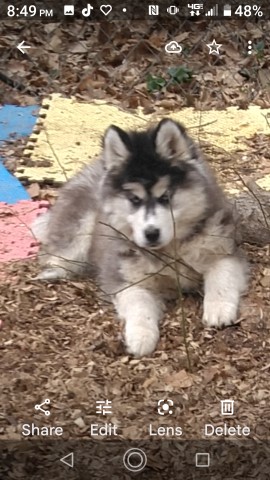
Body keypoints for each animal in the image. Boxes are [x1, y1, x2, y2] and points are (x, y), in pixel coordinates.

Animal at [32, 119, 248, 356]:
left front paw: (219, 309)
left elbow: (221, 278)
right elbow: (139, 306)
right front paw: (141, 337)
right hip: (79, 231)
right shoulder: (126, 278)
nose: (151, 233)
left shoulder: (223, 250)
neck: (169, 251)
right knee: (56, 254)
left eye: (165, 197)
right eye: (134, 199)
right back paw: (51, 272)